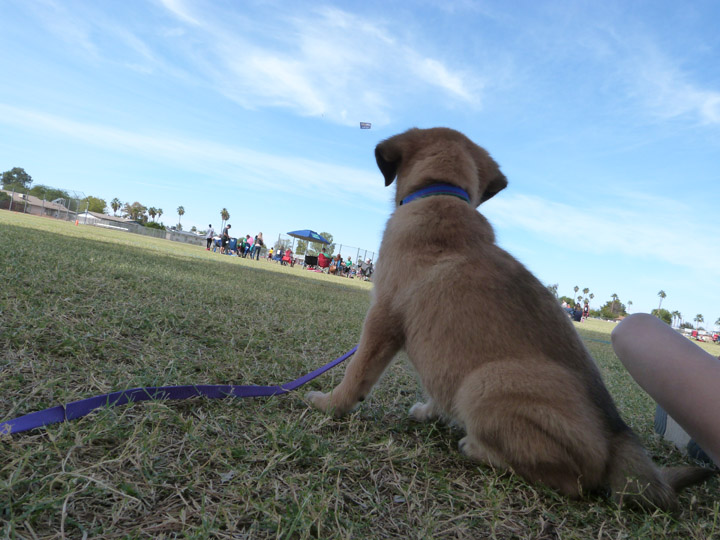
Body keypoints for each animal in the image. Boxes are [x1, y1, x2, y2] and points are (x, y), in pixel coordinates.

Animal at [306, 127, 712, 510]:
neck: (443, 194)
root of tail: (618, 438)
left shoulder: (382, 318)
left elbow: (356, 373)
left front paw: (329, 405)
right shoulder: (442, 357)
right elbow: (437, 387)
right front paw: (429, 412)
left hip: (484, 383)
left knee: (572, 483)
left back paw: (477, 448)